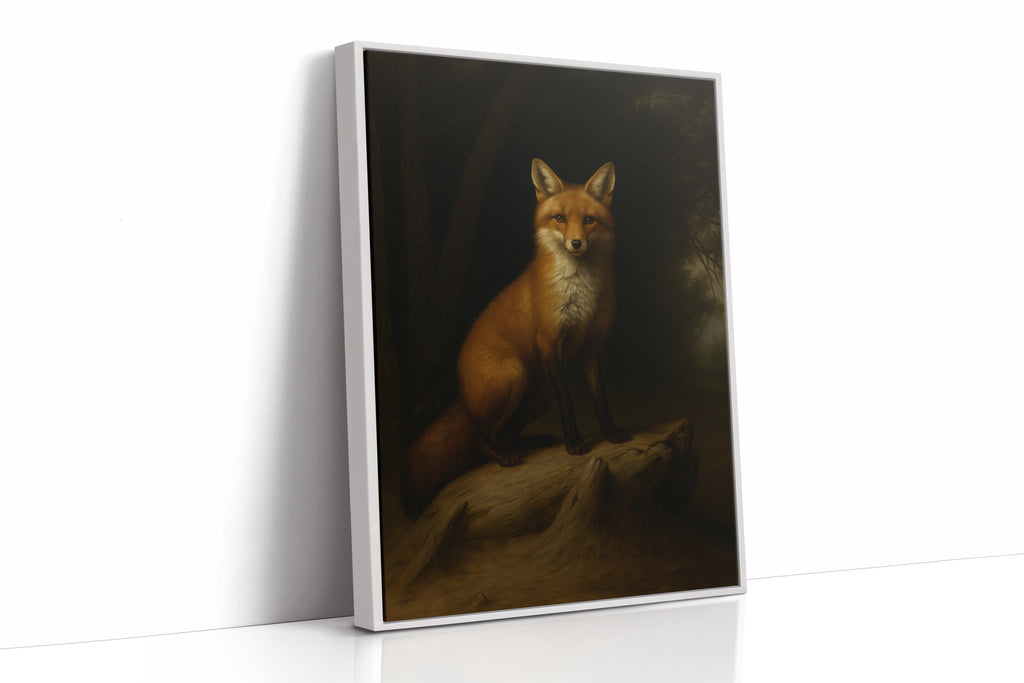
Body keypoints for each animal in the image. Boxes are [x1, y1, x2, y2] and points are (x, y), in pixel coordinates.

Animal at [401, 159, 630, 513]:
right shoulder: (549, 344)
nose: (576, 243)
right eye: (559, 218)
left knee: (503, 432)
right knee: (480, 438)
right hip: (515, 373)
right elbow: (568, 403)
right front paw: (575, 443)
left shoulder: (591, 346)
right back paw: (504, 457)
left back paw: (532, 441)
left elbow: (600, 399)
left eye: (589, 220)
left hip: (539, 390)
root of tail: (463, 397)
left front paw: (611, 432)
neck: (580, 294)